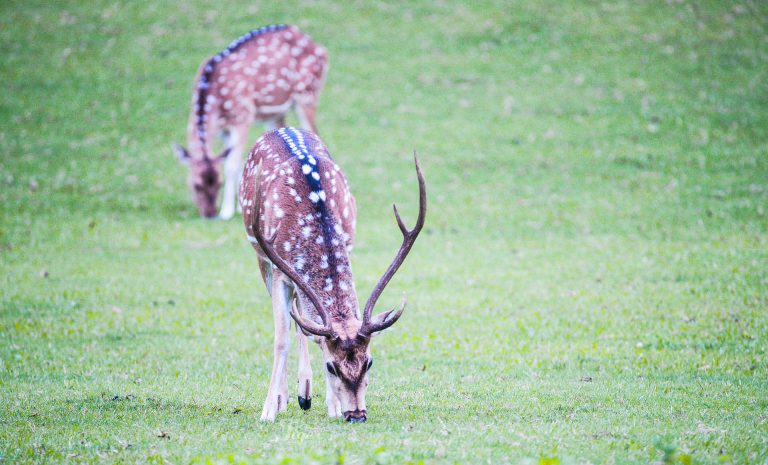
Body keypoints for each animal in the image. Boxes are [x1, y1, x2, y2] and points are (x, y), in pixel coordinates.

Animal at [173, 24, 328, 219]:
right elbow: (237, 161)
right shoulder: (225, 129)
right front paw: (241, 205)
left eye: (219, 183)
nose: (210, 214)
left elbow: (231, 164)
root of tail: (319, 47)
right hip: (276, 112)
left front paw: (227, 211)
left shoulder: (243, 114)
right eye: (196, 185)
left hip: (307, 92)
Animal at [240, 127, 426, 422]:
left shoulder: (348, 244)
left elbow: (314, 332)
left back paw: (305, 394)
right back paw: (286, 397)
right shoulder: (278, 269)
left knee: (304, 321)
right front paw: (269, 409)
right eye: (330, 367)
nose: (357, 414)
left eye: (369, 362)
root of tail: (280, 129)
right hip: (262, 259)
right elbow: (281, 340)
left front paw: (334, 406)